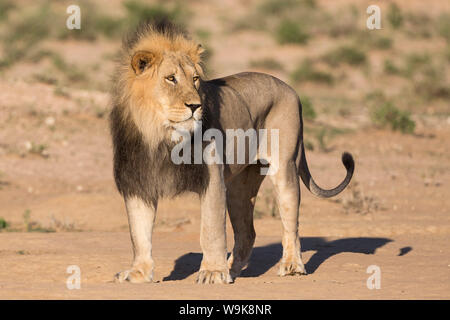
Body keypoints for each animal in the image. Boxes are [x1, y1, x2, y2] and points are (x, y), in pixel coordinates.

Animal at [110, 21, 356, 284]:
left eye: (195, 79)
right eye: (171, 78)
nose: (196, 106)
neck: (160, 135)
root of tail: (290, 88)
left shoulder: (212, 179)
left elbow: (211, 228)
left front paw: (212, 272)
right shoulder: (138, 183)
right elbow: (139, 233)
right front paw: (138, 272)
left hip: (285, 167)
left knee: (291, 223)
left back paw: (291, 265)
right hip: (240, 187)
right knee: (248, 232)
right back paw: (233, 269)